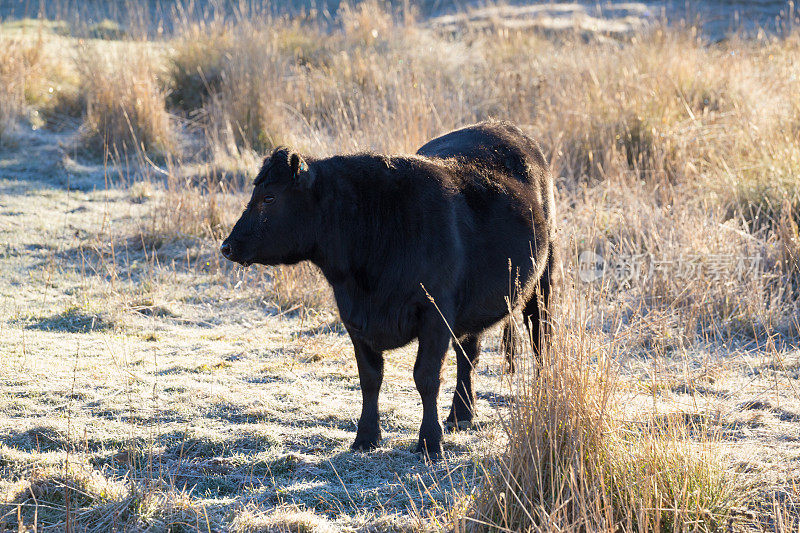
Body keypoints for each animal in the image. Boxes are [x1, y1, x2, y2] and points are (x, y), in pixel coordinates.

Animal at [219, 120, 556, 458]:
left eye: (269, 198)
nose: (227, 246)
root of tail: (498, 125)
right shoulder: (354, 317)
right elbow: (370, 378)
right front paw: (366, 436)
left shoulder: (435, 313)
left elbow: (426, 377)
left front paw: (429, 441)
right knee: (469, 355)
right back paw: (460, 415)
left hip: (543, 282)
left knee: (540, 338)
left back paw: (543, 395)